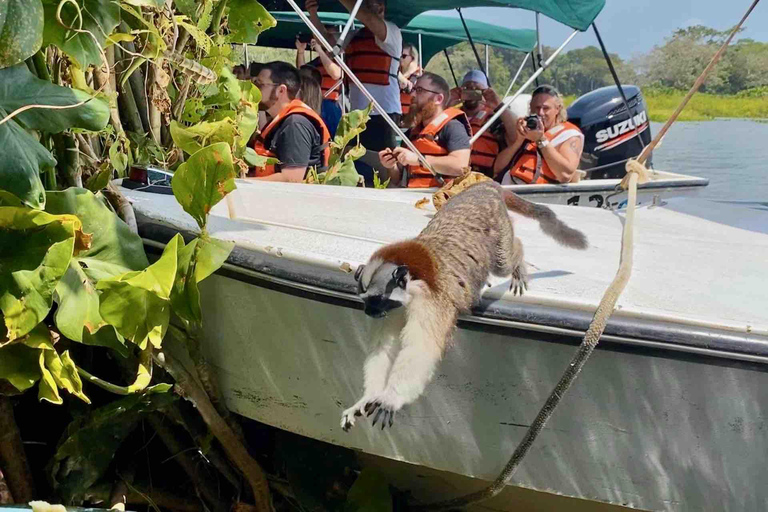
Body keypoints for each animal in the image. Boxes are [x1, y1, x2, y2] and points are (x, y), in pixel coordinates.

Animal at [342, 182, 588, 430]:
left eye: (376, 300)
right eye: (365, 300)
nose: (369, 312)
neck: (414, 274)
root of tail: (484, 185)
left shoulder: (432, 300)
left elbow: (422, 347)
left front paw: (391, 399)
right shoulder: (397, 308)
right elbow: (384, 349)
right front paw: (368, 397)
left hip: (498, 227)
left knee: (503, 261)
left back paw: (517, 260)